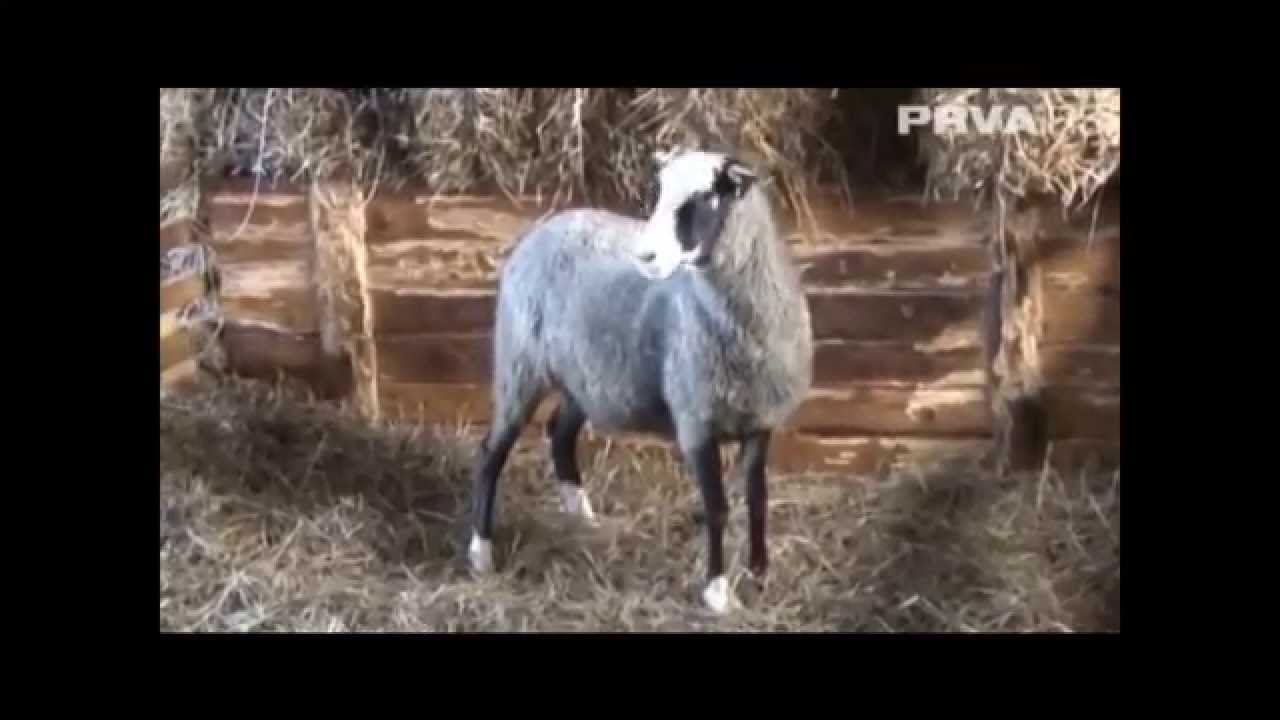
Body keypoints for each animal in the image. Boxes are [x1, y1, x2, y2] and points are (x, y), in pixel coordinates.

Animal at [466, 147, 814, 614]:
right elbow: (718, 508)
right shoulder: (695, 421)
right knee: (492, 451)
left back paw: (582, 517)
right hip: (519, 364)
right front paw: (718, 591)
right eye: (658, 194)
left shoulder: (759, 420)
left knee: (559, 433)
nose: (645, 256)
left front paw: (760, 574)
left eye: (705, 198)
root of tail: (547, 225)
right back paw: (481, 552)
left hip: (587, 375)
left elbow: (758, 499)